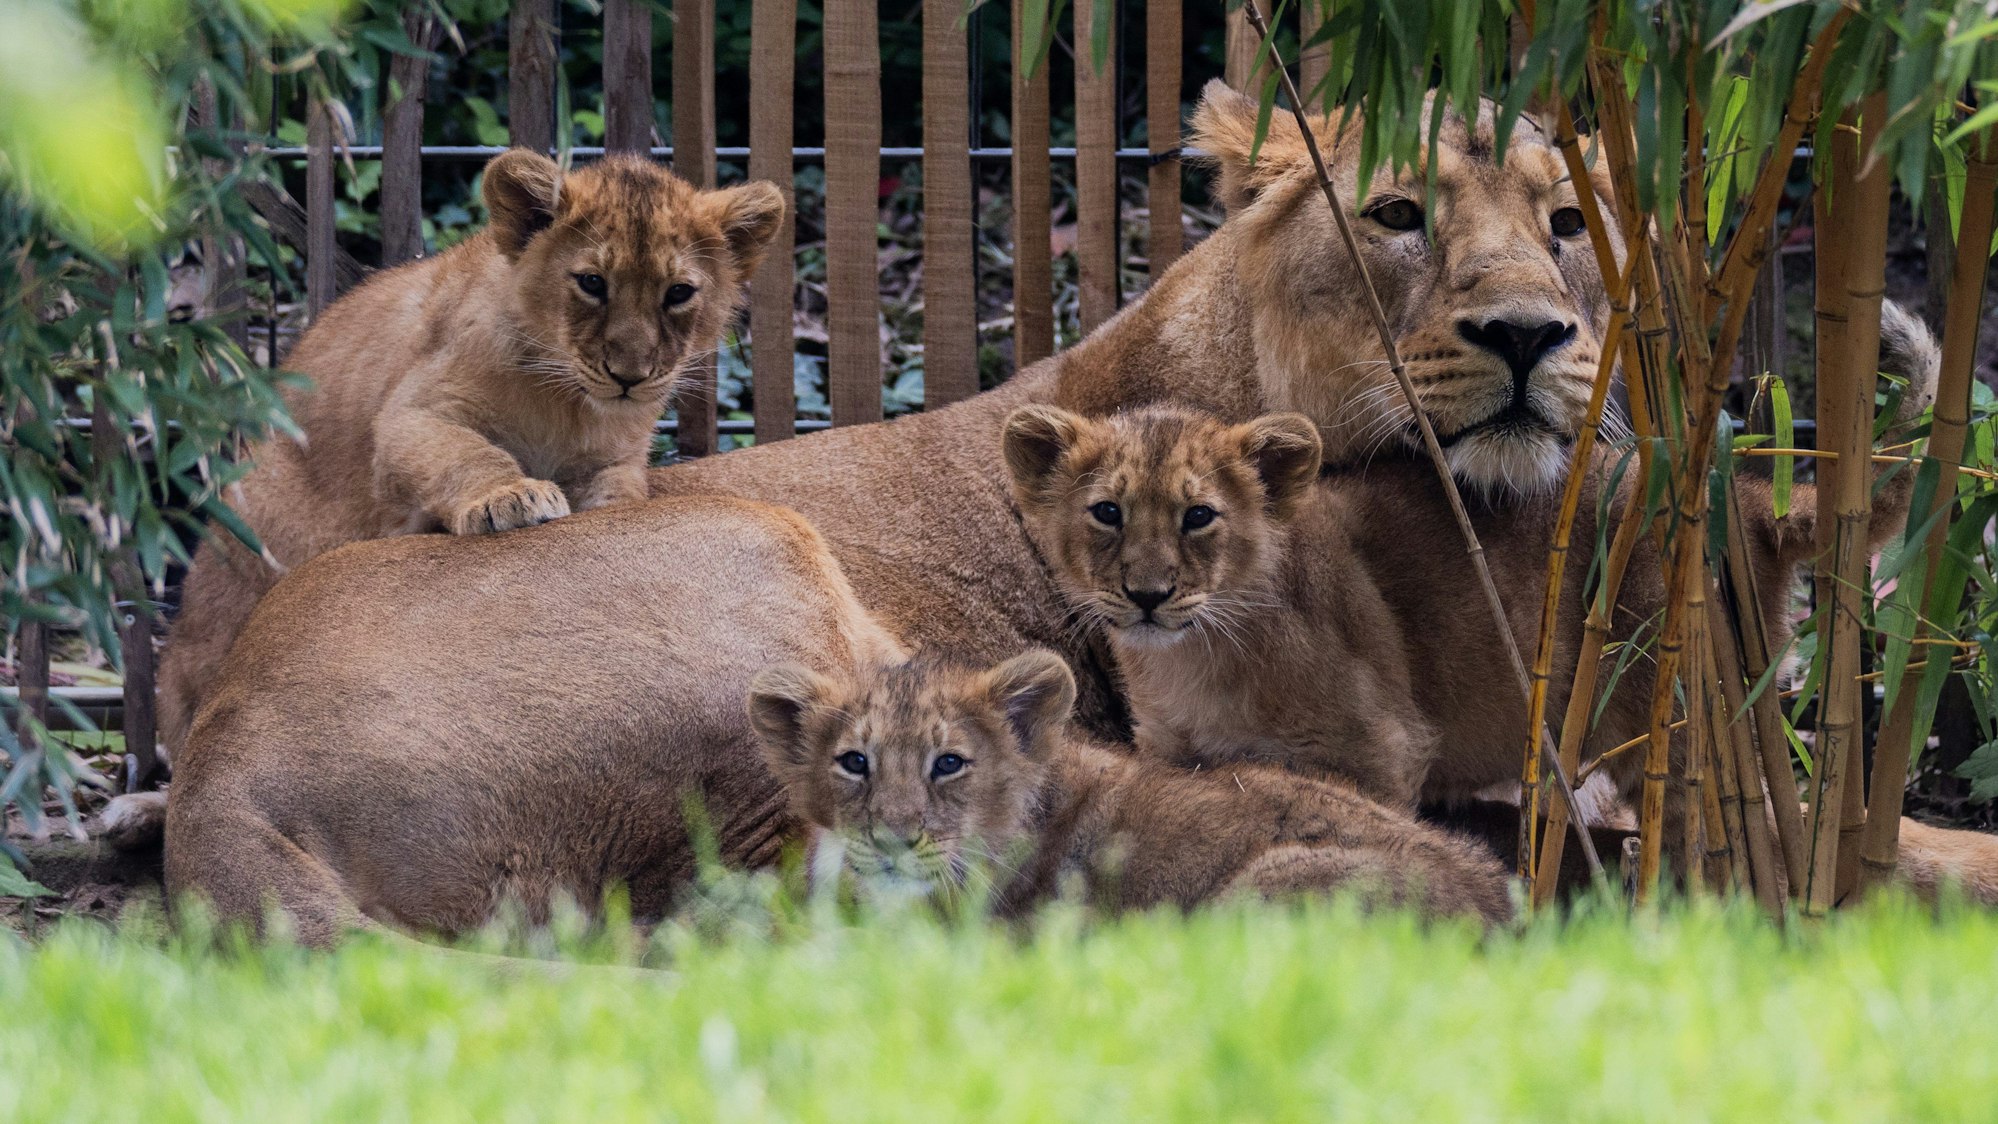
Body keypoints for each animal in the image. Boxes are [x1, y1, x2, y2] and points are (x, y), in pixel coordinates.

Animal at [155, 150, 786, 758]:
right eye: (591, 282)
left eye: (678, 293)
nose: (629, 376)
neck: (566, 405)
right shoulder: (412, 415)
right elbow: (465, 452)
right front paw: (510, 497)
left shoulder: (615, 458)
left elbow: (621, 496)